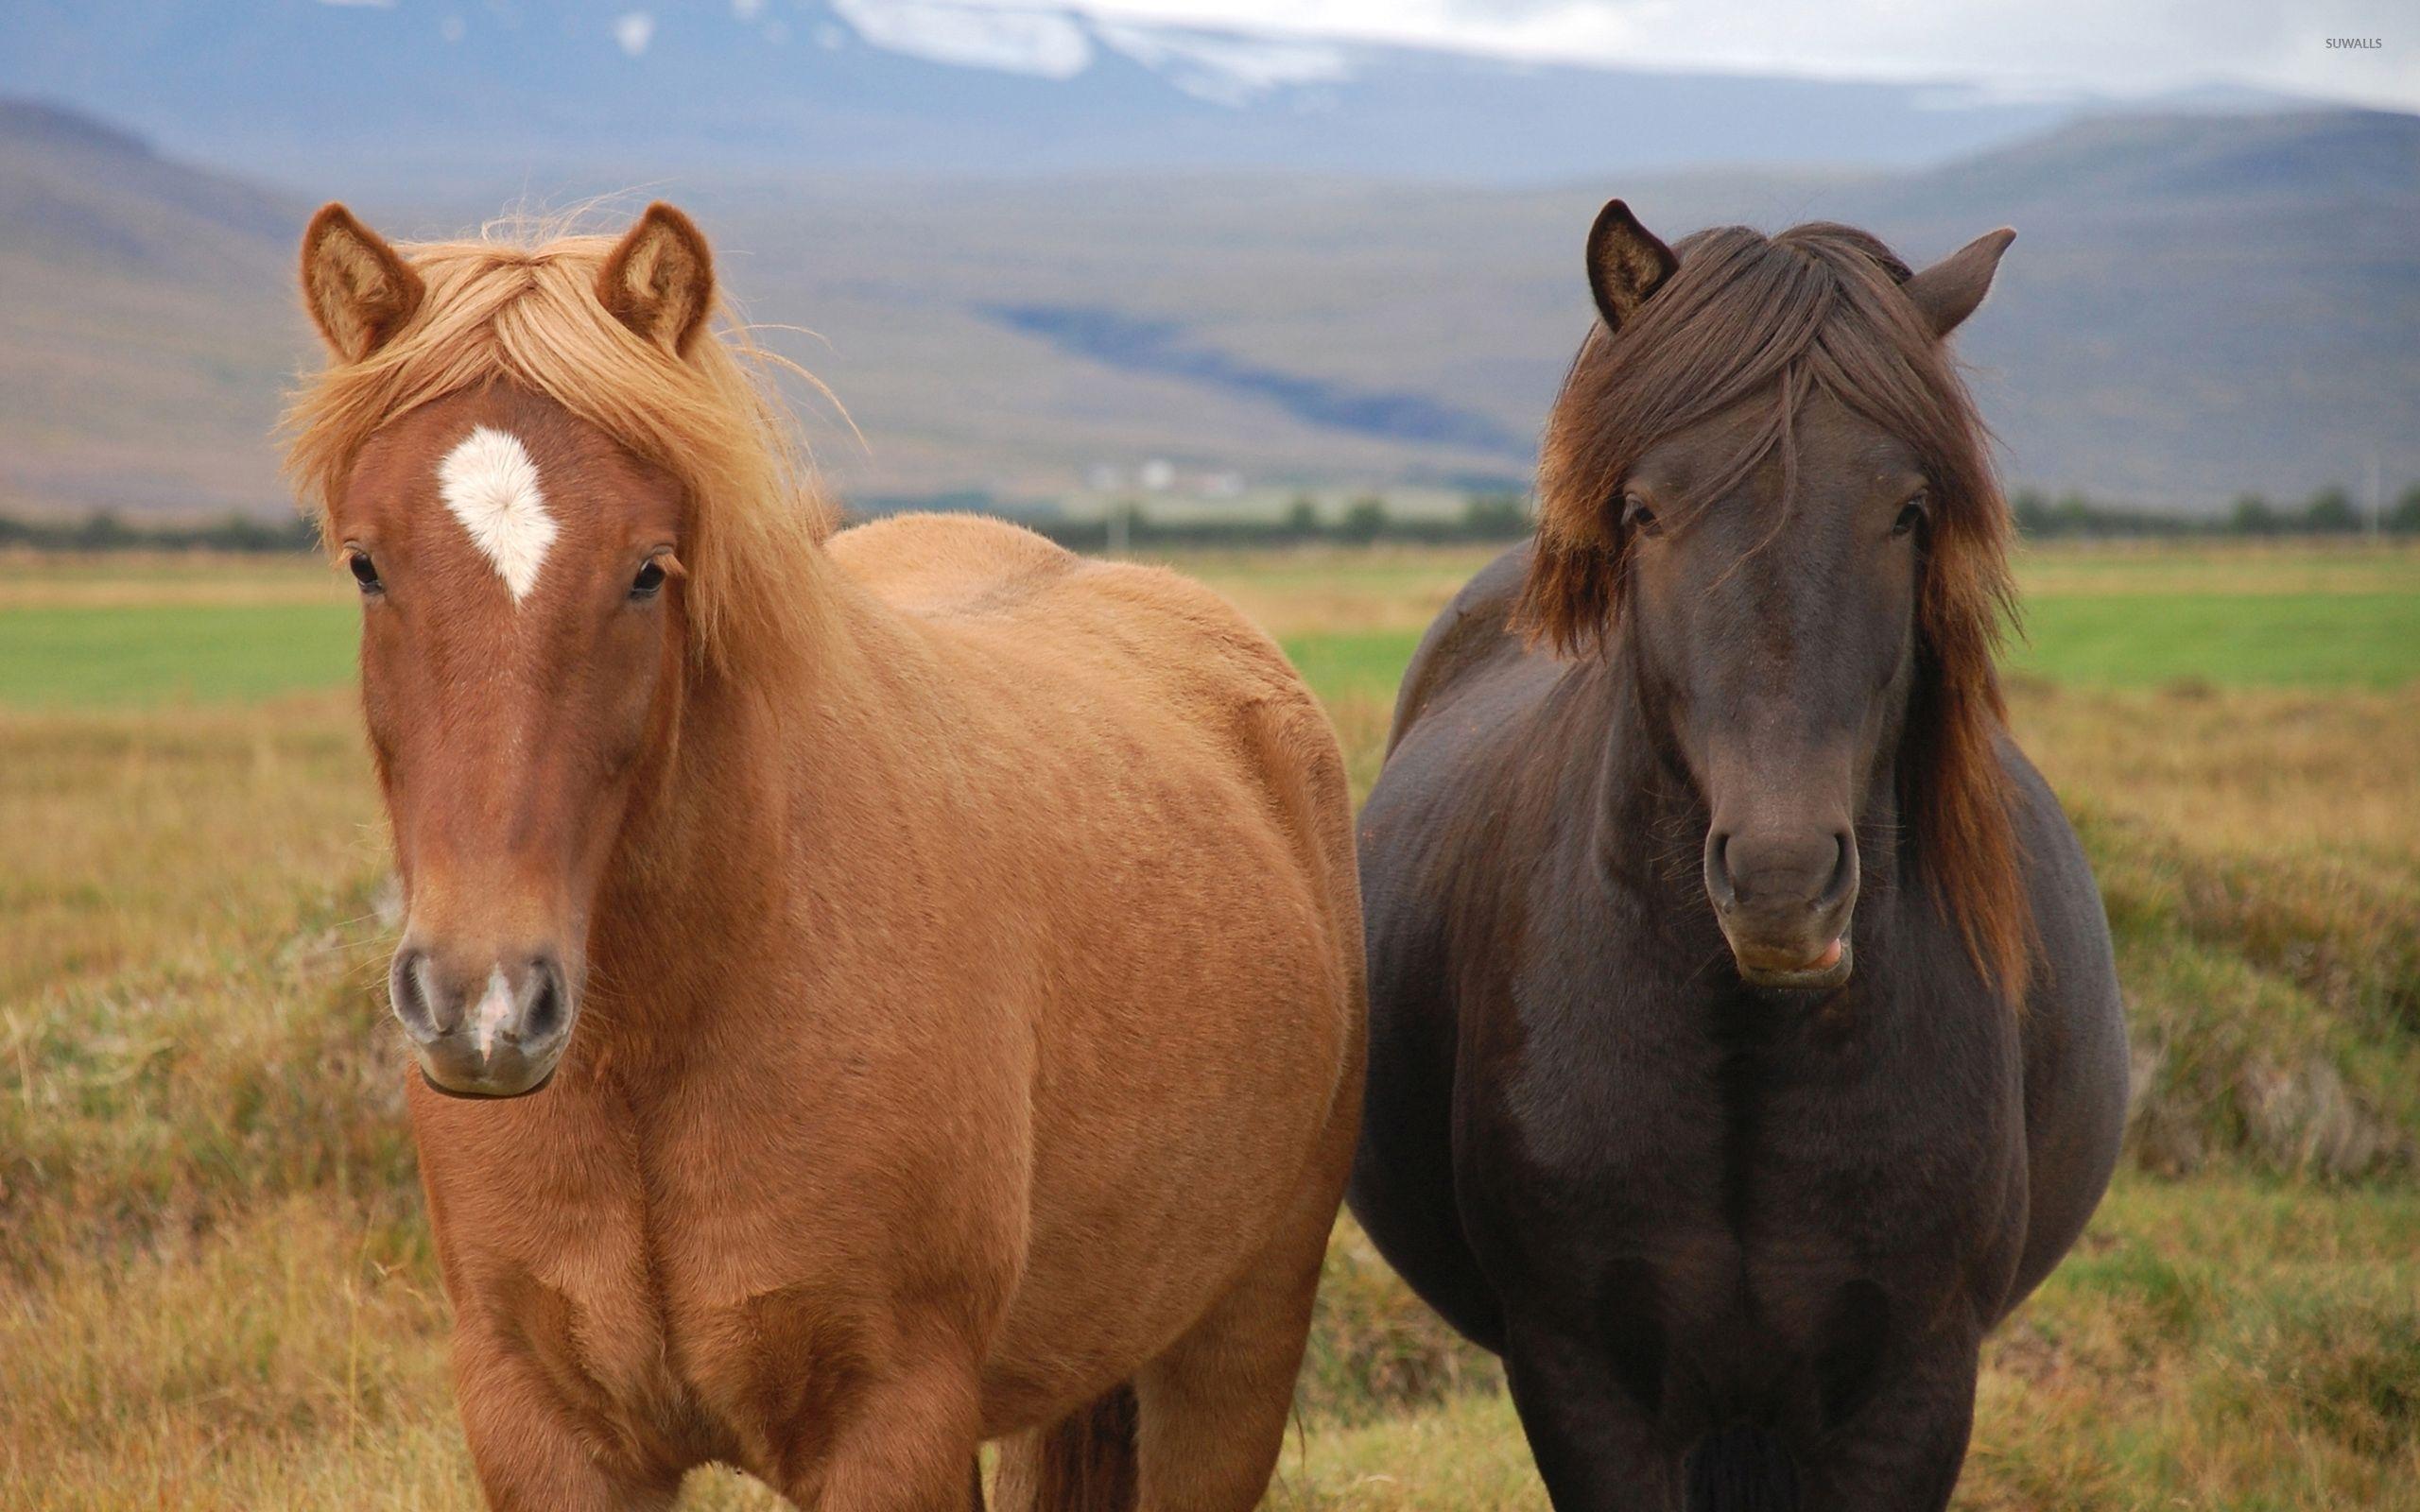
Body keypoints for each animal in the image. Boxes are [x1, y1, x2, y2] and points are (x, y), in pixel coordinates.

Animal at [284, 201, 1366, 1512]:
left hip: (1231, 1352)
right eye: (366, 564)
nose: (483, 1004)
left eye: (646, 569)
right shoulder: (541, 1423)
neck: (663, 1043)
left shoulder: (889, 1427)